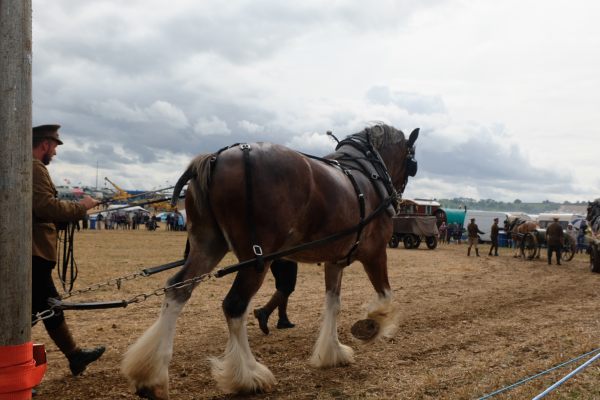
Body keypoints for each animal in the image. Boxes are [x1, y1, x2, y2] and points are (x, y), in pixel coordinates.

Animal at [120, 124, 420, 396]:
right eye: (412, 162)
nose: (399, 200)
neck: (367, 177)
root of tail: (216, 158)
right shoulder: (375, 252)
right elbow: (386, 296)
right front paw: (371, 326)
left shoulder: (335, 261)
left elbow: (333, 305)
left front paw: (331, 352)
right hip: (256, 260)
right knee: (234, 305)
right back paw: (248, 376)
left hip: (207, 247)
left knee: (177, 289)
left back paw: (151, 377)